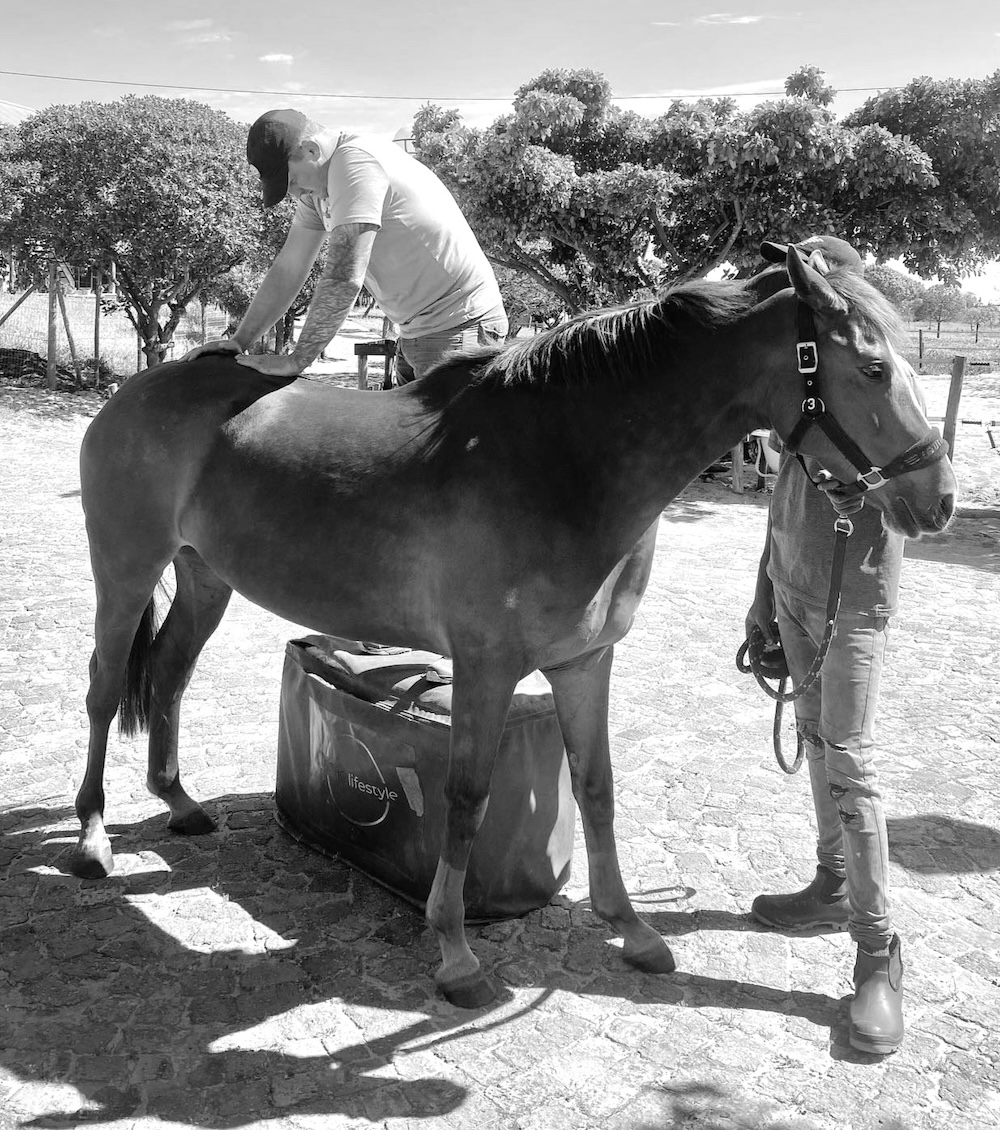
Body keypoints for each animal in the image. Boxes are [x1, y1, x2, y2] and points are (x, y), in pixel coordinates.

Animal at [70, 247, 956, 1008]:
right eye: (873, 368)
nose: (937, 500)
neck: (562, 461)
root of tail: (139, 389)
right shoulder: (487, 668)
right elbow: (466, 797)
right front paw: (456, 951)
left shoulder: (586, 662)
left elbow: (597, 787)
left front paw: (631, 929)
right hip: (124, 571)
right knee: (106, 690)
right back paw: (93, 838)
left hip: (204, 577)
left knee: (170, 672)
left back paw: (179, 801)